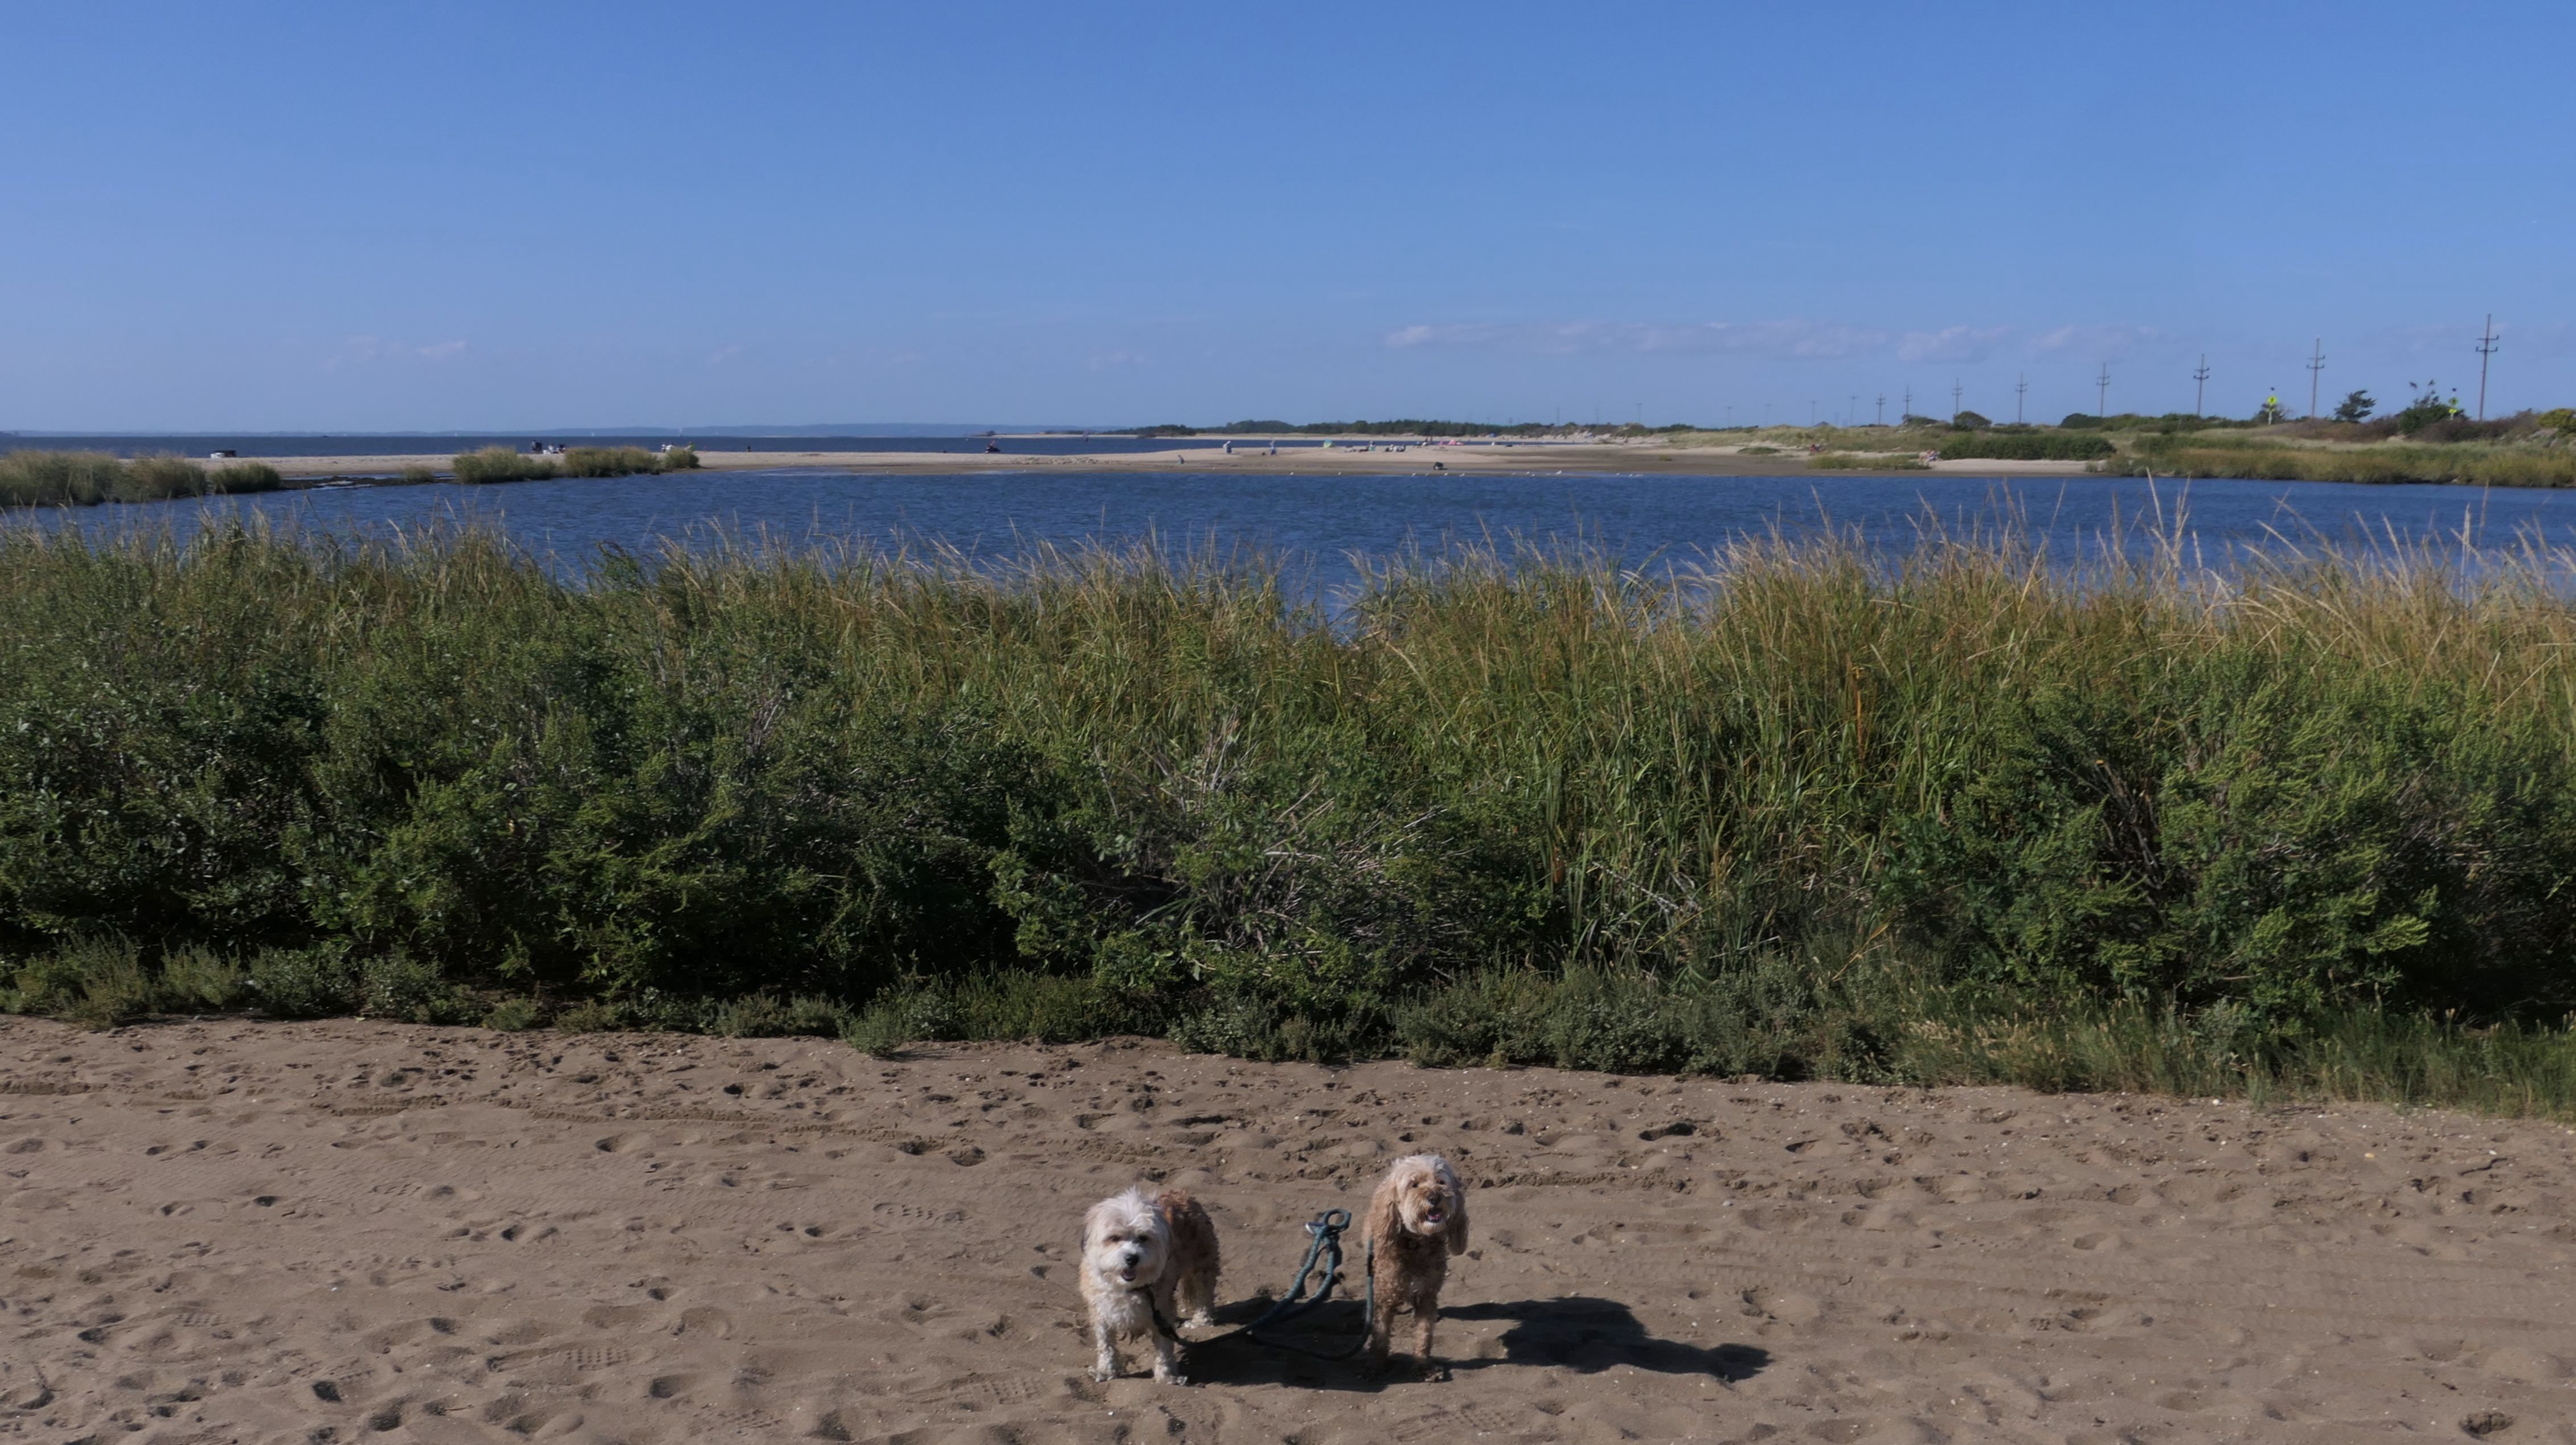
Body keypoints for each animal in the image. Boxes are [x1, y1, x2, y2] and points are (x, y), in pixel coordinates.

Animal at [1078, 1185, 1221, 1384]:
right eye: (1114, 1238)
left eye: (1143, 1238)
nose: (1132, 1258)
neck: (1129, 1288)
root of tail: (1182, 1194)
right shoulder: (1101, 1311)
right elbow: (1106, 1344)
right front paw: (1106, 1371)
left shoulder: (1161, 1311)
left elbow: (1164, 1346)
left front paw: (1167, 1376)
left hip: (1202, 1260)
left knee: (1204, 1291)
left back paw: (1201, 1320)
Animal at [1363, 1153, 1469, 1375]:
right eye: (1414, 1185)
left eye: (1441, 1182)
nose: (1435, 1198)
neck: (1416, 1243)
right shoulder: (1384, 1297)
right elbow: (1380, 1335)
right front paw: (1375, 1366)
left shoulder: (1427, 1295)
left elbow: (1424, 1333)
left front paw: (1424, 1366)